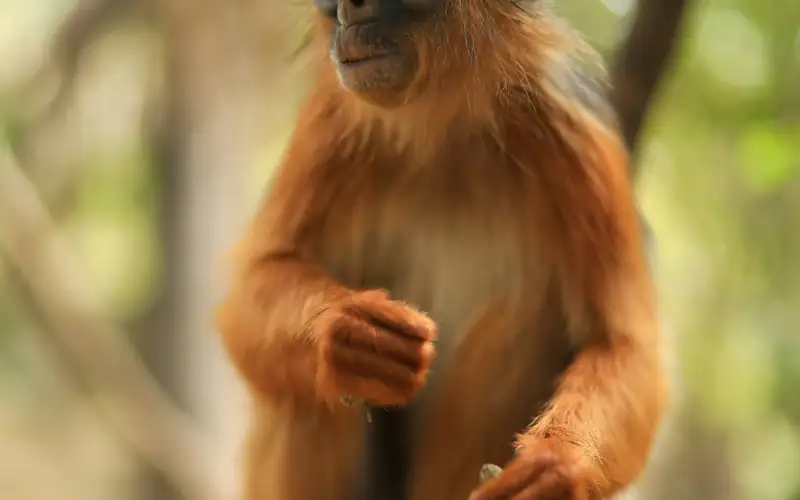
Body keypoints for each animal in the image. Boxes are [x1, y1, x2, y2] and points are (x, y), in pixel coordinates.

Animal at [215, 0, 669, 496]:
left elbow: (623, 345)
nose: (349, 17)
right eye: (334, 6)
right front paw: (346, 334)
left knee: (523, 313)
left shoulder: (572, 127)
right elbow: (252, 286)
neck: (447, 128)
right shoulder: (334, 117)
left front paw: (557, 469)